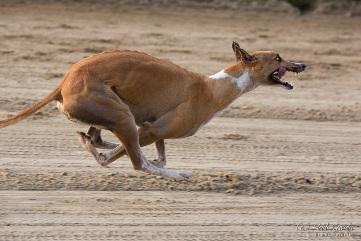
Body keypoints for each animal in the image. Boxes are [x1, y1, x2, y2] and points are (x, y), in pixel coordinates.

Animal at [0, 41, 304, 179]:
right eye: (278, 58)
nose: (302, 64)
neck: (215, 86)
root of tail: (63, 83)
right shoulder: (153, 130)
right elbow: (126, 158)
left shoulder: (154, 131)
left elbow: (159, 155)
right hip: (120, 114)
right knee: (133, 161)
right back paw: (174, 173)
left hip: (114, 110)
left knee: (99, 137)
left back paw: (97, 141)